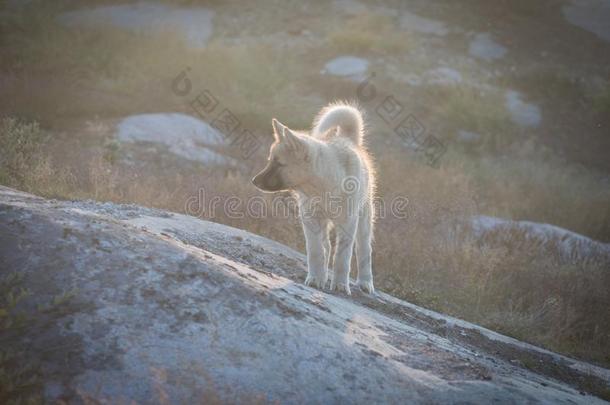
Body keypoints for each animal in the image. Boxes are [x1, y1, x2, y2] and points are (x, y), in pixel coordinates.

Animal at [252, 102, 376, 294]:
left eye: (279, 163)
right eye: (270, 161)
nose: (254, 181)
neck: (322, 186)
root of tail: (348, 138)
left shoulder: (348, 221)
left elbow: (342, 257)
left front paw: (340, 285)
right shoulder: (310, 218)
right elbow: (316, 251)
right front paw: (316, 279)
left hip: (364, 218)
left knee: (364, 249)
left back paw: (365, 282)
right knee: (326, 246)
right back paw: (323, 275)